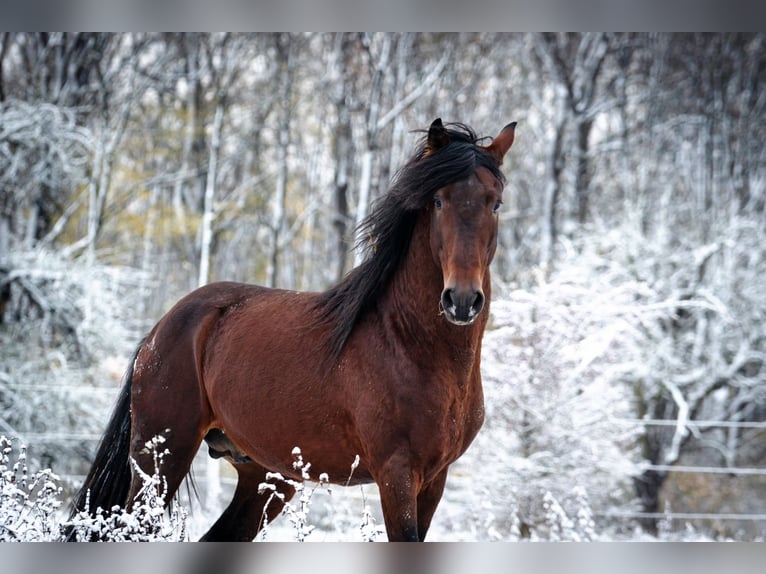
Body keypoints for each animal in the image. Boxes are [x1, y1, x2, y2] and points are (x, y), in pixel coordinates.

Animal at [66, 118, 520, 544]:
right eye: (438, 200)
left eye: (495, 203)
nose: (462, 300)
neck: (410, 345)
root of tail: (160, 331)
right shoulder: (397, 474)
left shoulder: (434, 479)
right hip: (161, 459)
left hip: (265, 477)